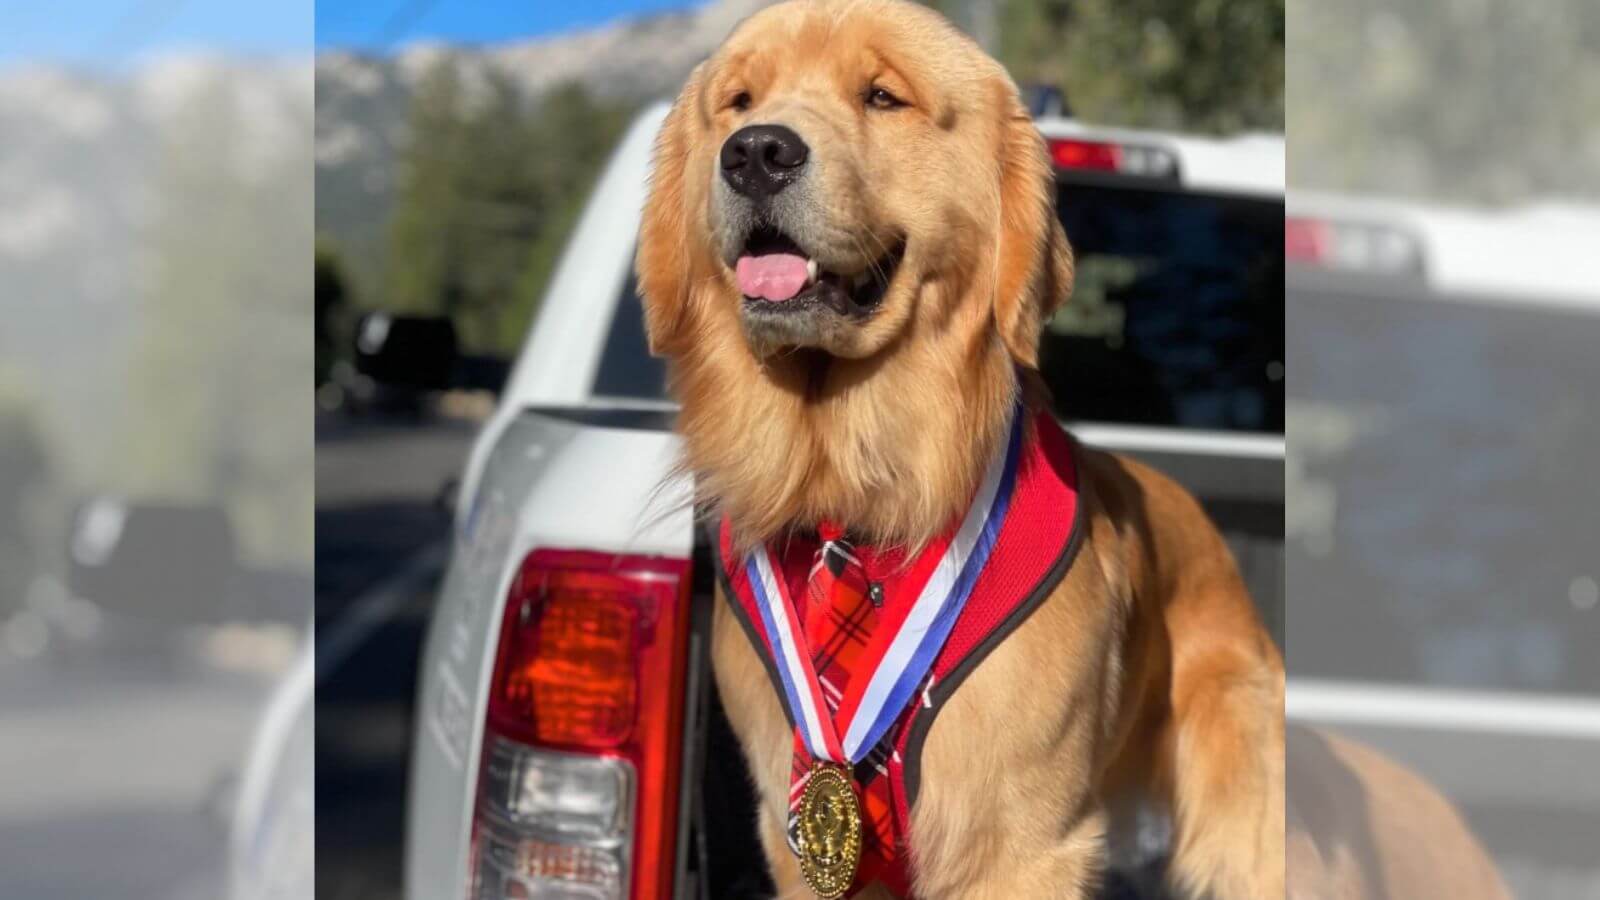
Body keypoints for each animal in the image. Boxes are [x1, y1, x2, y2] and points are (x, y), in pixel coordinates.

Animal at [636, 3, 1286, 890]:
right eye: (739, 101)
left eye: (882, 96)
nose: (756, 153)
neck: (859, 500)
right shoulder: (800, 832)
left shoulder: (1019, 841)